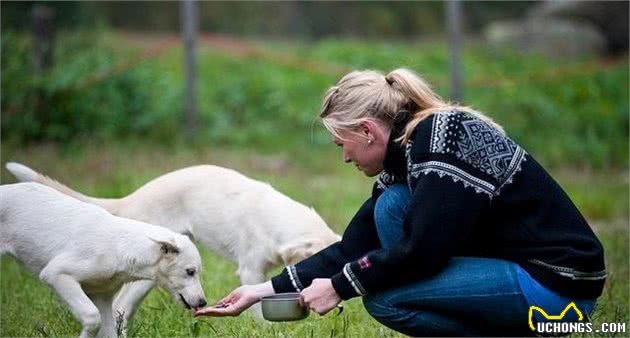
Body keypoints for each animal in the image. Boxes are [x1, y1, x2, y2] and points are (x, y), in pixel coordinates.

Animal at [0, 182, 206, 338]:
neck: (119, 246)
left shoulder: (103, 298)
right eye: (190, 272)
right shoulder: (57, 274)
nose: (203, 303)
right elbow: (92, 318)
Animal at [6, 162, 340, 320]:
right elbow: (256, 309)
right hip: (147, 275)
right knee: (120, 306)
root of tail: (130, 200)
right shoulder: (250, 270)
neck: (277, 219)